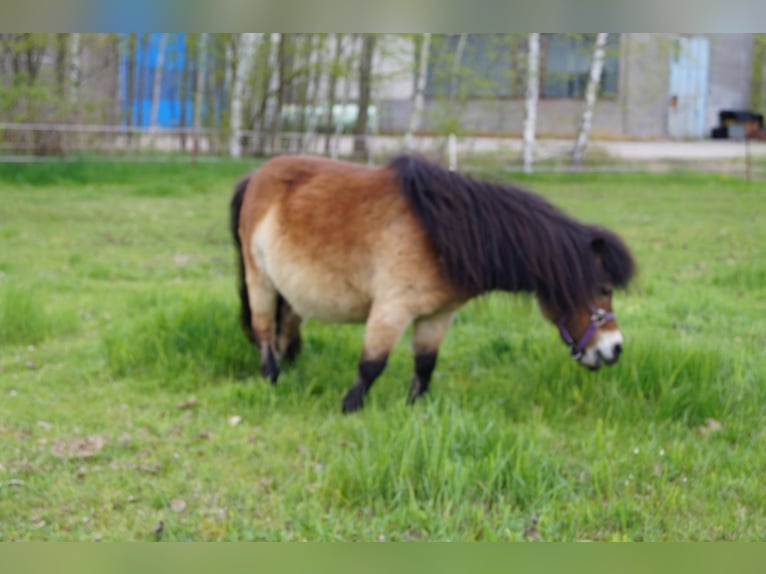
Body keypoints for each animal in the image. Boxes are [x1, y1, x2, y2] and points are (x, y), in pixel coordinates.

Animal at [230, 154, 636, 414]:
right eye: (604, 288)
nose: (615, 349)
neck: (444, 235)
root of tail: (255, 176)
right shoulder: (391, 309)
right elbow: (372, 365)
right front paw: (349, 409)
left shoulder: (438, 316)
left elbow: (425, 365)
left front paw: (415, 410)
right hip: (260, 280)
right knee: (264, 331)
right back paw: (271, 380)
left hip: (290, 293)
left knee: (283, 331)